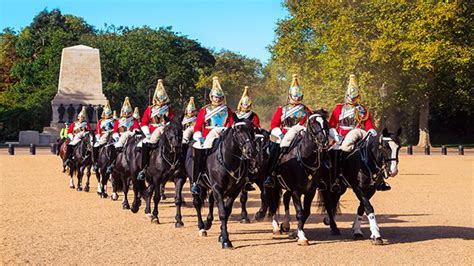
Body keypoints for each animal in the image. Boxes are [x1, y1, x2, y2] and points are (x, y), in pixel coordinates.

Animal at [186, 117, 258, 248]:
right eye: (238, 130)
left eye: (253, 130)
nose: (252, 151)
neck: (229, 160)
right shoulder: (218, 188)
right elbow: (223, 213)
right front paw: (225, 240)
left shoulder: (234, 190)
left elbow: (227, 211)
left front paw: (221, 234)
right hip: (193, 183)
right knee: (197, 203)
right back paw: (201, 227)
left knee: (210, 201)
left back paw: (208, 222)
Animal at [266, 109, 330, 245]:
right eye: (312, 123)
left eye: (325, 123)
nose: (324, 142)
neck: (305, 158)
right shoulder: (296, 191)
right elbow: (300, 213)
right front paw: (302, 237)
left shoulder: (310, 191)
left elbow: (306, 213)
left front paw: (296, 233)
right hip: (270, 186)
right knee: (272, 204)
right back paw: (276, 227)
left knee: (285, 198)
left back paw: (285, 225)